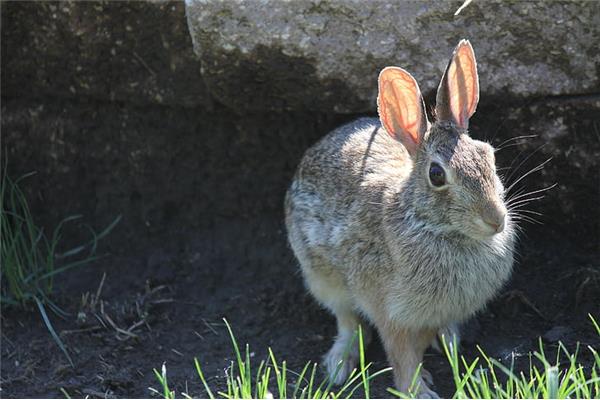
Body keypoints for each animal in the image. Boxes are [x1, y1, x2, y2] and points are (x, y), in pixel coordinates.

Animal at [284, 40, 516, 396]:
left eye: (488, 155)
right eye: (436, 175)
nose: (495, 220)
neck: (429, 222)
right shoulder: (391, 313)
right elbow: (402, 356)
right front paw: (419, 391)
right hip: (322, 277)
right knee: (347, 320)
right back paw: (339, 365)